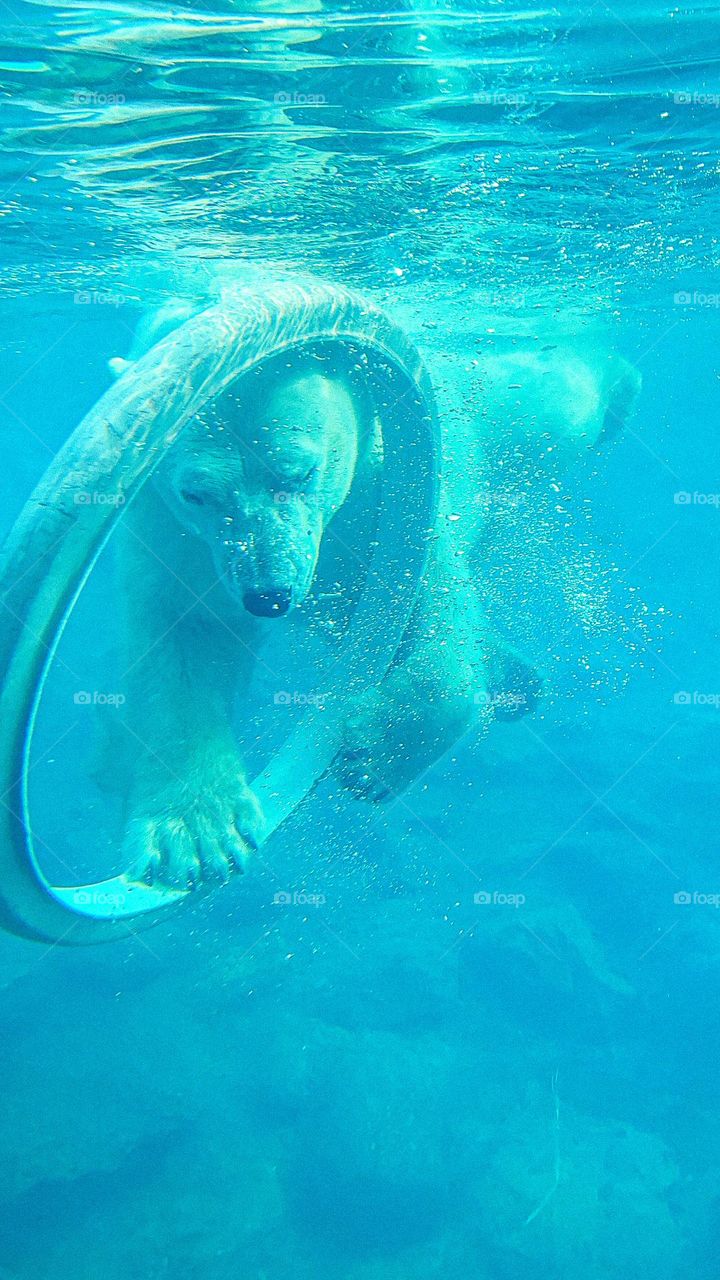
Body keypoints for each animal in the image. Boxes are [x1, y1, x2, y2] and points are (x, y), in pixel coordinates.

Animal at [110, 309, 640, 889]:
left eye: (302, 470)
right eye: (196, 493)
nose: (269, 595)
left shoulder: (386, 494)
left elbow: (432, 613)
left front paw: (373, 756)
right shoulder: (172, 532)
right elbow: (184, 639)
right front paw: (197, 833)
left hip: (498, 408)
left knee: (561, 395)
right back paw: (516, 677)